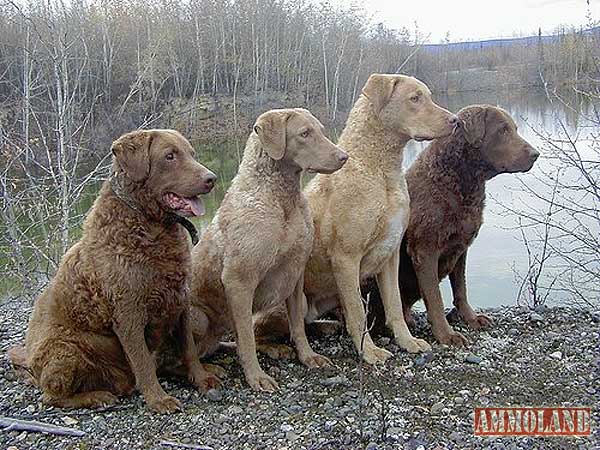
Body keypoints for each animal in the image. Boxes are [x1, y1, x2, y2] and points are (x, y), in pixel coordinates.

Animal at [9, 128, 219, 414]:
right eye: (170, 156)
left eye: (192, 153)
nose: (212, 179)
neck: (149, 226)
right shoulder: (128, 313)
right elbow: (142, 361)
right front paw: (158, 399)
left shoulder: (180, 299)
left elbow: (189, 349)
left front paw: (200, 378)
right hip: (65, 350)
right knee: (50, 397)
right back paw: (97, 397)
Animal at [190, 108, 350, 390]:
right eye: (304, 133)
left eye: (321, 130)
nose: (343, 157)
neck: (282, 201)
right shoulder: (239, 282)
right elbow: (247, 338)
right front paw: (257, 377)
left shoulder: (295, 274)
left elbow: (297, 326)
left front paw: (307, 356)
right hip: (198, 316)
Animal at [300, 73, 460, 362]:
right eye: (414, 98)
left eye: (428, 96)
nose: (455, 120)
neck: (379, 170)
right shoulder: (346, 258)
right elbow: (357, 312)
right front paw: (370, 351)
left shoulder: (390, 254)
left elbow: (394, 306)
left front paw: (407, 341)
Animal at [366, 104, 540, 344]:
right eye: (502, 130)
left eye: (514, 128)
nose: (535, 154)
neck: (456, 183)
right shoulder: (425, 250)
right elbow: (435, 298)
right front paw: (446, 334)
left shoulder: (460, 247)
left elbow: (461, 289)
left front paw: (470, 318)